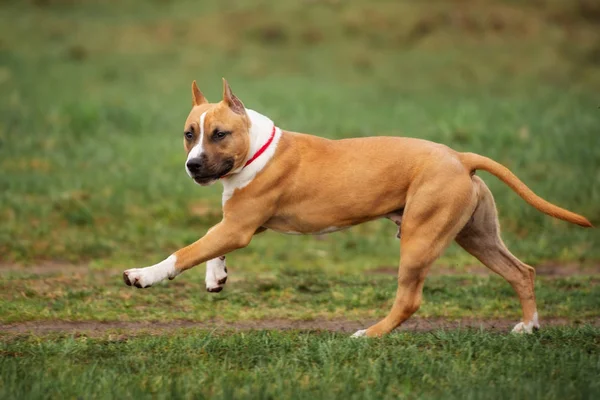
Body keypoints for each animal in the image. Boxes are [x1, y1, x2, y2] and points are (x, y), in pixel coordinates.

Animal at [122, 79, 592, 338]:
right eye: (189, 133)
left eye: (219, 134)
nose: (193, 165)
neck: (256, 148)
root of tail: (460, 156)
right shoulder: (240, 223)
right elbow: (209, 247)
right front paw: (216, 276)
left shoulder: (239, 225)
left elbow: (186, 251)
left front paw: (145, 275)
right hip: (476, 235)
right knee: (522, 272)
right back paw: (529, 326)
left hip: (421, 238)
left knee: (410, 300)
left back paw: (370, 334)